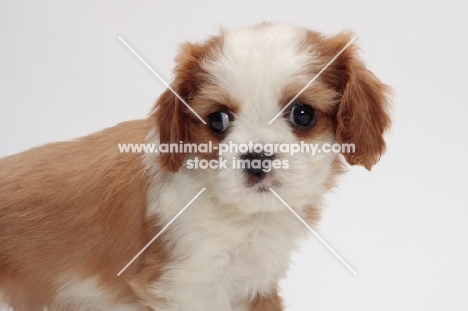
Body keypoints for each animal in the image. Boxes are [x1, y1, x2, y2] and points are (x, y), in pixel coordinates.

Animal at [0, 23, 392, 310]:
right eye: (218, 120)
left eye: (303, 113)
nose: (256, 157)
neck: (245, 218)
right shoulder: (185, 286)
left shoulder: (256, 284)